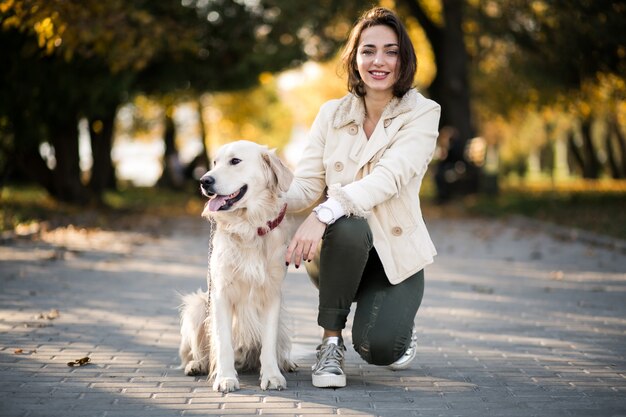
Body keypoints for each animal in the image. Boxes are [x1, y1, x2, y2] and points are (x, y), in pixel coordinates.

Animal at [178, 139, 294, 390]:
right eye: (214, 162)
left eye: (235, 161)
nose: (204, 181)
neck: (248, 227)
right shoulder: (220, 293)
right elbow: (223, 342)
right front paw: (225, 378)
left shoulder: (272, 294)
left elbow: (269, 341)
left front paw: (272, 375)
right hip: (197, 305)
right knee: (196, 352)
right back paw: (196, 364)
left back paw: (286, 363)